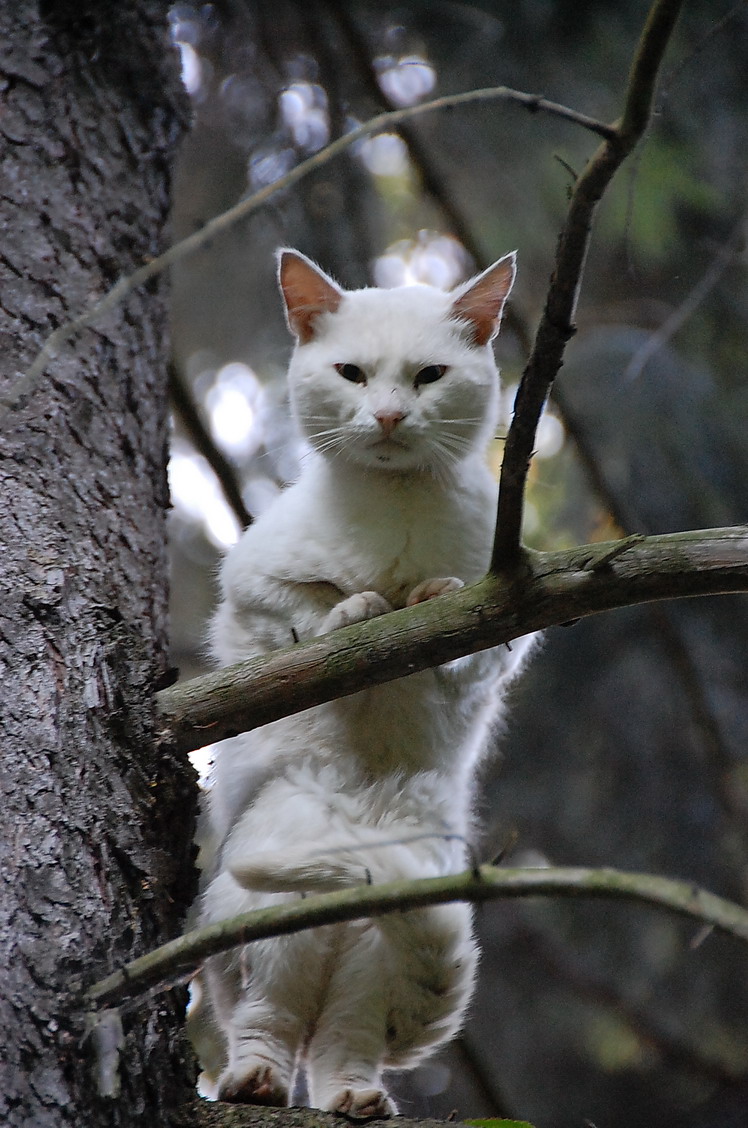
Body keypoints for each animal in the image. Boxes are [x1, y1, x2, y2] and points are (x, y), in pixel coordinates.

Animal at [196, 249, 534, 1118]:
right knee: (271, 1019)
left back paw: (354, 1096)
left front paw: (425, 598)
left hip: (380, 936)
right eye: (351, 373)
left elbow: (468, 638)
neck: (395, 503)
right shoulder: (249, 579)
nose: (385, 417)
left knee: (345, 1037)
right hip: (270, 905)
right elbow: (309, 608)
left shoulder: (511, 614)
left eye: (428, 376)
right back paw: (255, 1080)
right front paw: (358, 608)